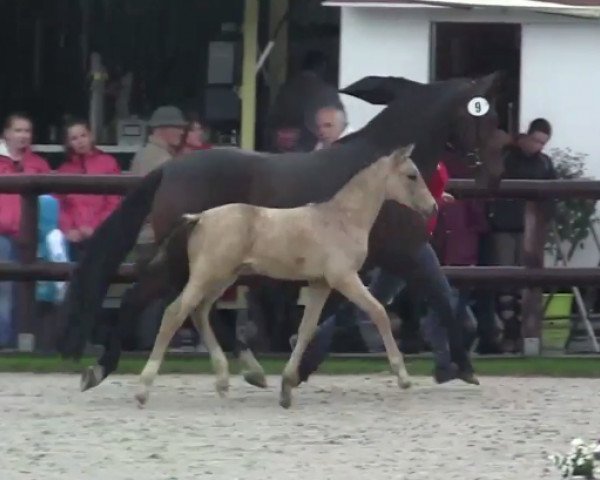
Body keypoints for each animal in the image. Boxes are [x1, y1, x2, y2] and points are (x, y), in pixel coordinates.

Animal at [136, 145, 436, 408]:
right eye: (412, 175)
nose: (432, 207)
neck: (341, 220)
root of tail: (199, 218)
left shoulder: (320, 283)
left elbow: (305, 329)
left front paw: (287, 387)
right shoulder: (344, 278)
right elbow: (378, 313)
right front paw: (403, 377)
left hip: (222, 278)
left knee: (200, 312)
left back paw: (224, 380)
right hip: (207, 275)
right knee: (175, 313)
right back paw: (143, 389)